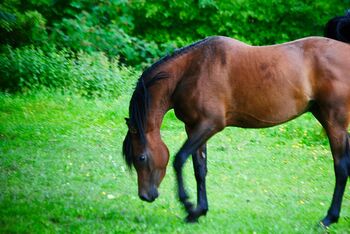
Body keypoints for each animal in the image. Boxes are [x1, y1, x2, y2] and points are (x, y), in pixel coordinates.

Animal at [122, 36, 350, 227]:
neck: (191, 71)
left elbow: (179, 159)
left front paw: (188, 205)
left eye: (141, 157)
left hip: (335, 123)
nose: (145, 195)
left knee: (341, 168)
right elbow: (199, 169)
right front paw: (199, 211)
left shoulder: (209, 125)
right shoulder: (194, 127)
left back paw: (329, 218)